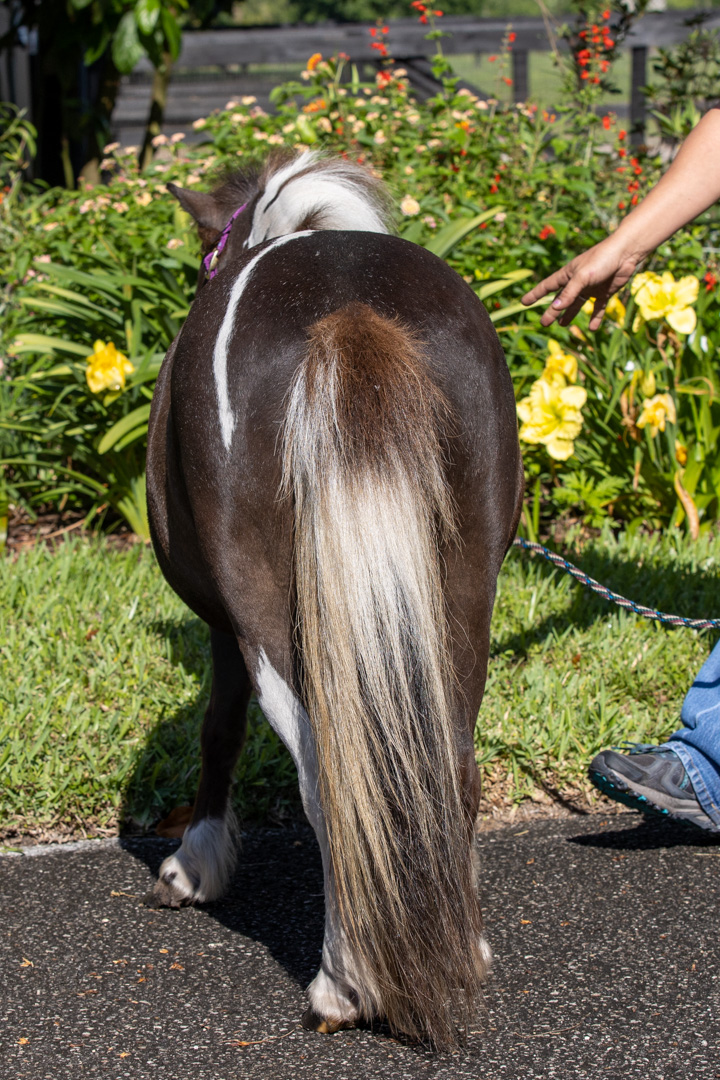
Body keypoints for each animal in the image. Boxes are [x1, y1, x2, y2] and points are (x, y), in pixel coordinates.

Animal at [144, 152, 524, 1045]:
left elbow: (218, 728)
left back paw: (343, 985)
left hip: (264, 611)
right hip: (464, 595)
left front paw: (194, 864)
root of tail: (348, 307)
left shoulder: (224, 625)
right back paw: (462, 948)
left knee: (325, 777)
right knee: (449, 762)